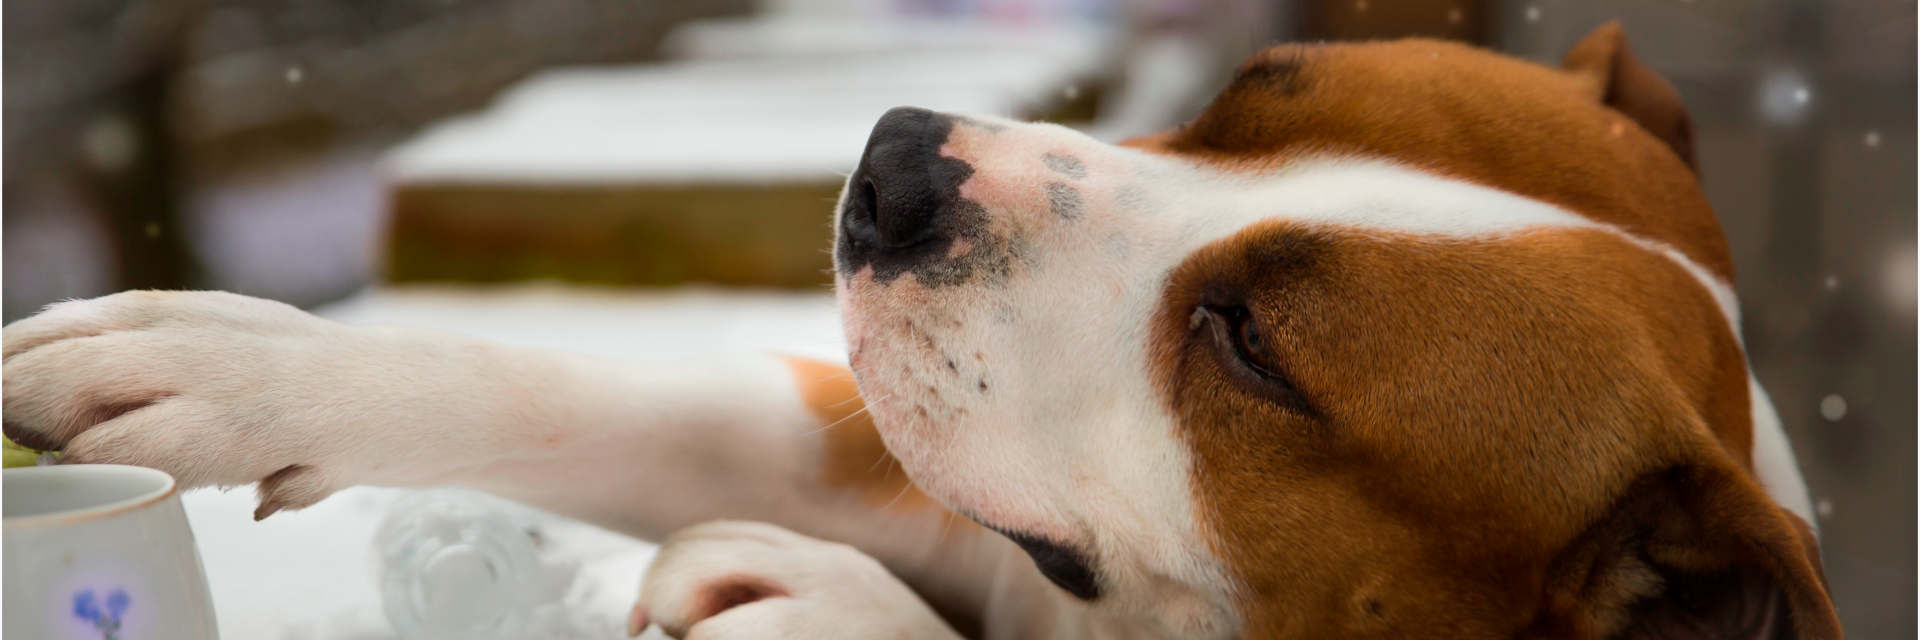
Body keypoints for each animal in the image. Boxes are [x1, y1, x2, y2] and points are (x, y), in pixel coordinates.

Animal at [7, 24, 1850, 638]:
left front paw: (812, 601)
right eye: (1239, 100)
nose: (897, 170)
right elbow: (603, 393)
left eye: (1254, 348)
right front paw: (242, 363)